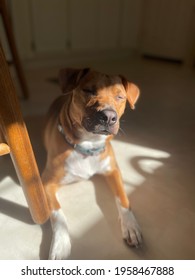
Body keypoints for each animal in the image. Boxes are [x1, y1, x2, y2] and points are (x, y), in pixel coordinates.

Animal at [42, 66, 142, 260]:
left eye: (120, 97)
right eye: (88, 90)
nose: (109, 116)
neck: (88, 146)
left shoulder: (113, 170)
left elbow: (123, 199)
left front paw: (131, 225)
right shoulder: (44, 183)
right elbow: (58, 215)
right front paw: (60, 244)